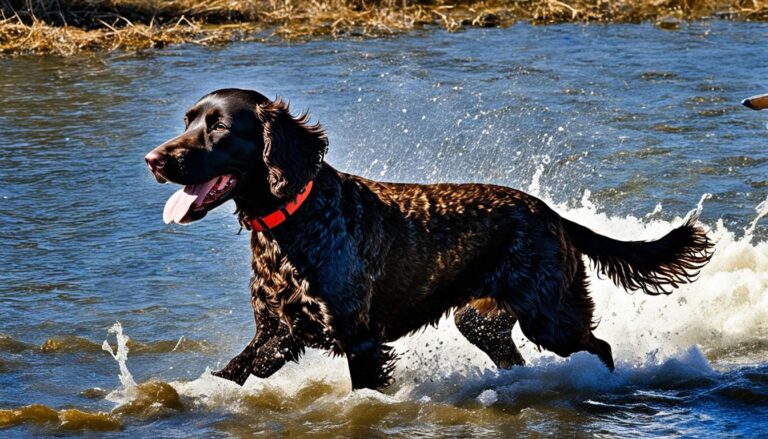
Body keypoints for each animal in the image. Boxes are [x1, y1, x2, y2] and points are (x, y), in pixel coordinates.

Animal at [147, 87, 716, 390]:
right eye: (188, 120)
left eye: (219, 127)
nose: (153, 159)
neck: (294, 224)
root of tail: (550, 212)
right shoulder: (276, 334)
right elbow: (229, 374)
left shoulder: (359, 339)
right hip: (480, 320)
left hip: (549, 316)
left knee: (599, 347)